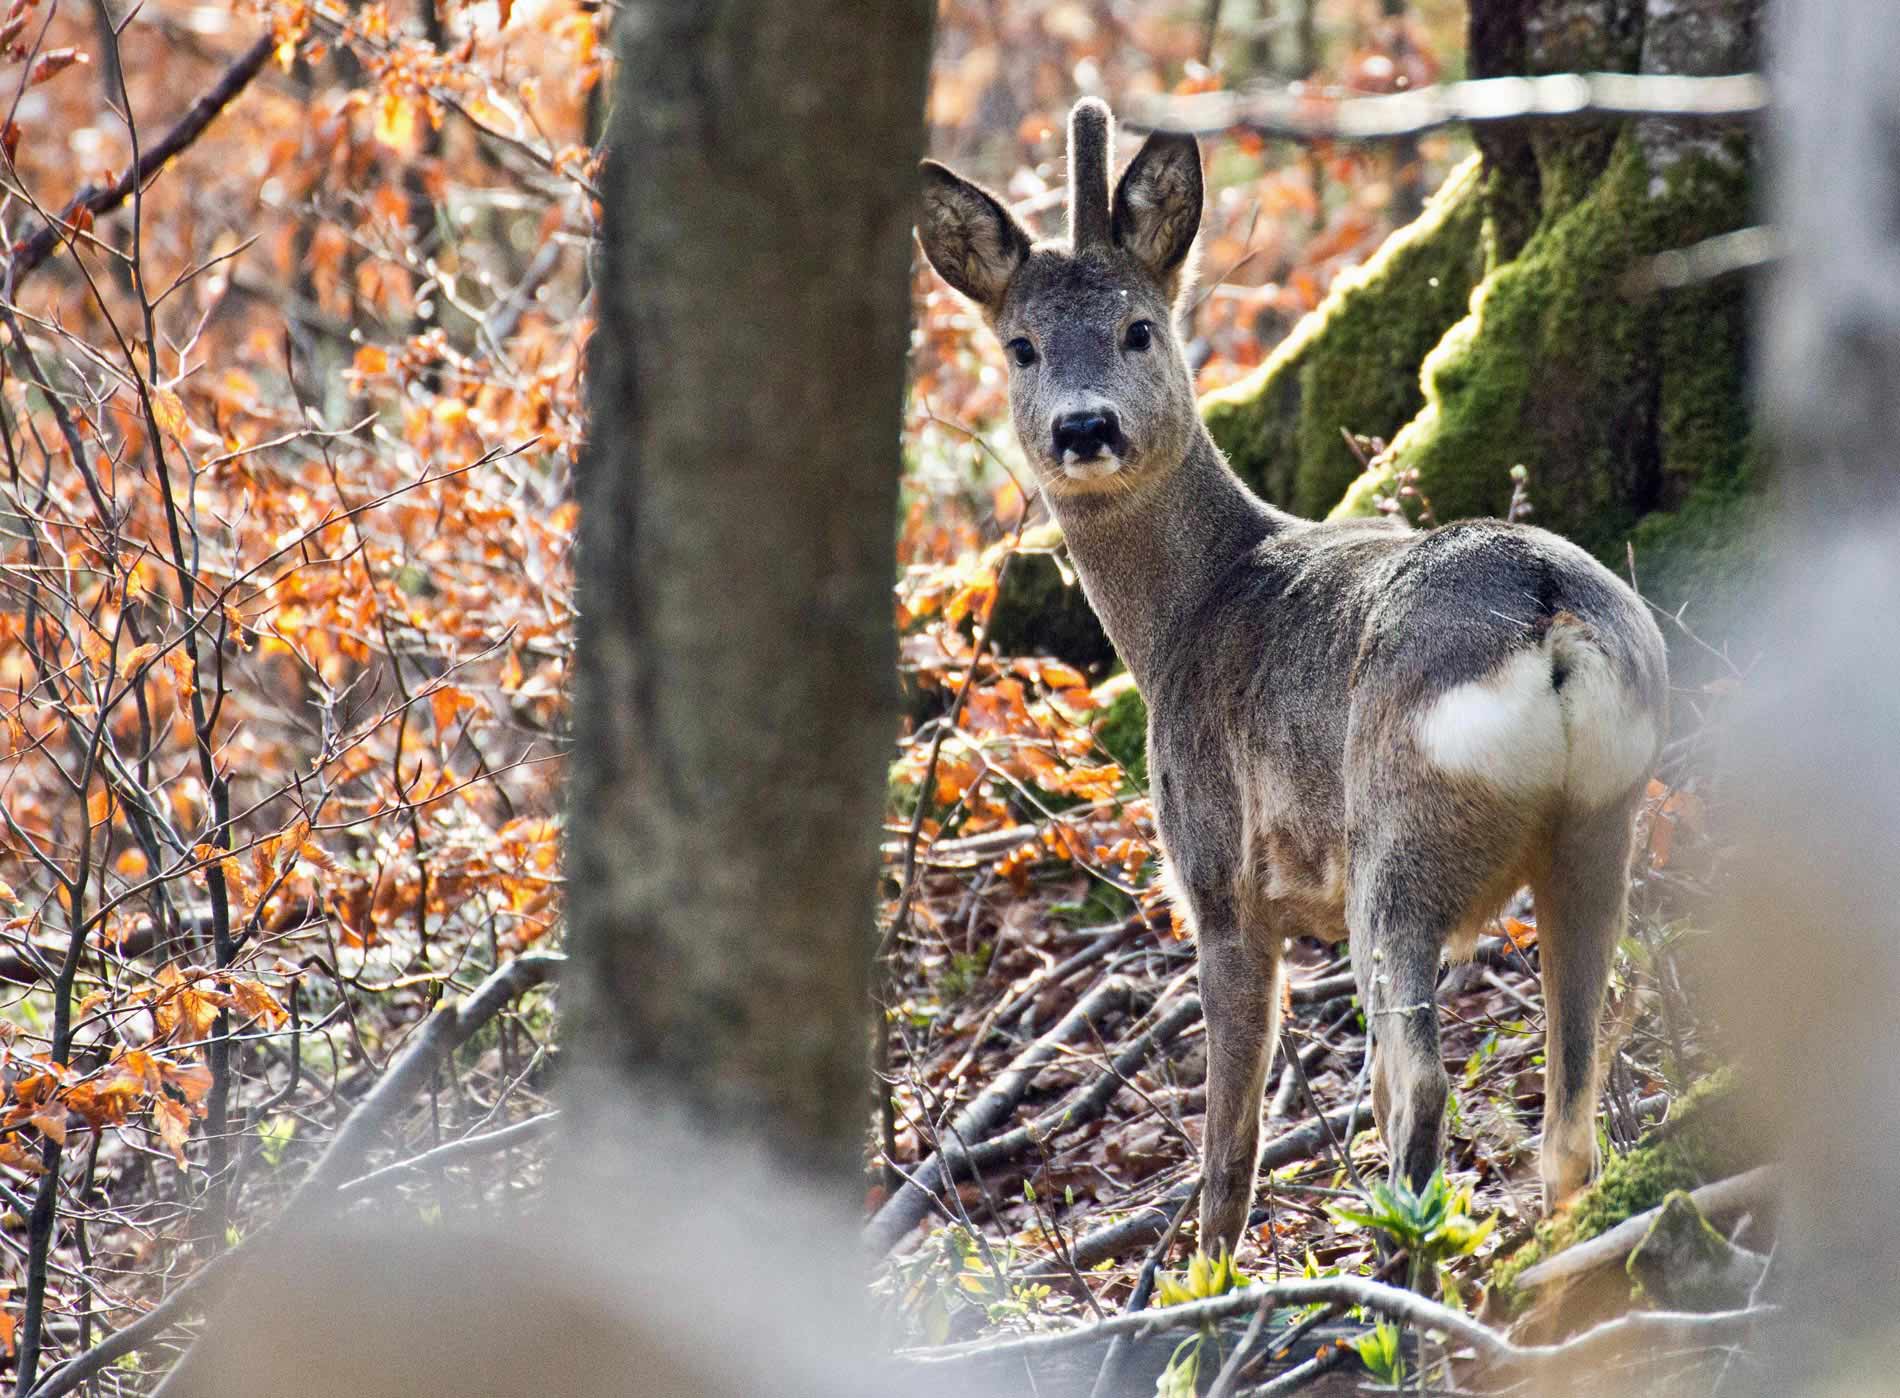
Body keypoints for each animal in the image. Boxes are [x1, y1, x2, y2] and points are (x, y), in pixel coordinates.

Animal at [915, 98, 1664, 1253]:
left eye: (1140, 329)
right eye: (1021, 346)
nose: (1084, 427)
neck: (1184, 612)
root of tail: (1549, 618)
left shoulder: (1221, 880)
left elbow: (1229, 1146)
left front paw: (1208, 1275)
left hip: (1396, 846)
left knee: (1419, 1085)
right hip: (1598, 827)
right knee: (1570, 1105)